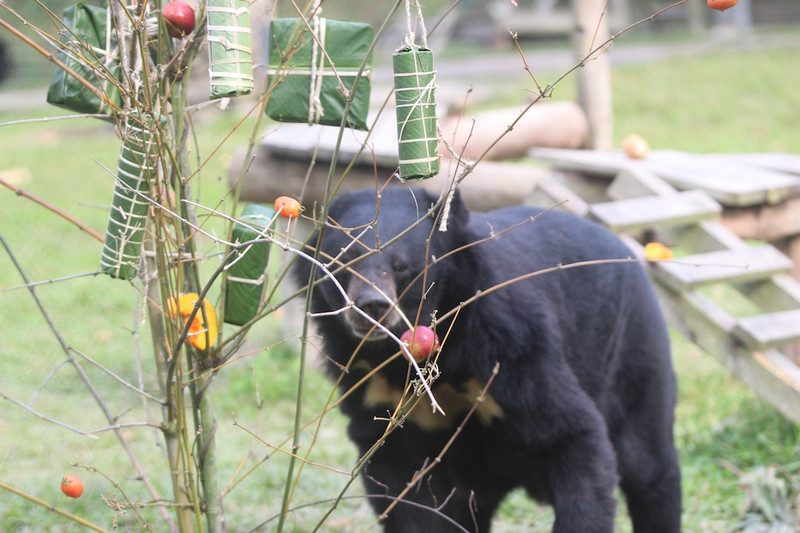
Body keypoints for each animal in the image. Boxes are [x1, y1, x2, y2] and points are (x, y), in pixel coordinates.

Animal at [294, 185, 680, 528]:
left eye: (403, 267)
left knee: (648, 466)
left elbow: (573, 434)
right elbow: (402, 487)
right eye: (343, 262)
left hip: (632, 352)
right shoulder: (373, 387)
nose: (372, 306)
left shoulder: (509, 347)